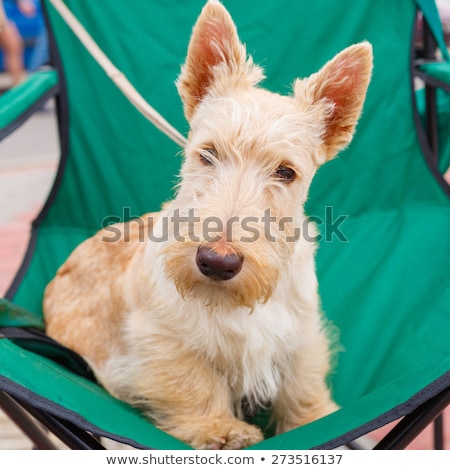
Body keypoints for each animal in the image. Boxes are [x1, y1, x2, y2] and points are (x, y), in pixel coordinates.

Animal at [43, 0, 372, 450]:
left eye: (286, 172)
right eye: (208, 153)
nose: (217, 261)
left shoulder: (301, 333)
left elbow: (302, 385)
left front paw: (316, 419)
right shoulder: (163, 339)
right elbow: (192, 383)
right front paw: (218, 428)